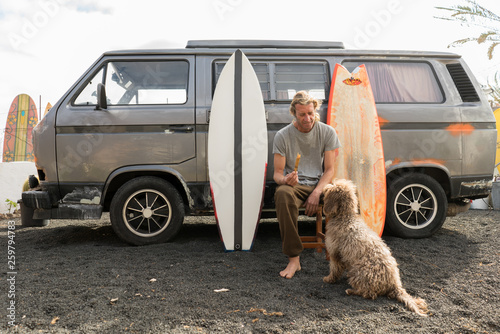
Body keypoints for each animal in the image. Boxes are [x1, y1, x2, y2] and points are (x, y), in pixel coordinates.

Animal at [322, 179, 428, 318]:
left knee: (369, 294)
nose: (323, 190)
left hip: (358, 272)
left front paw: (329, 279)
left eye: (332, 186)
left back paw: (351, 290)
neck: (345, 217)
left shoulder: (334, 253)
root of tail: (394, 284)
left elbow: (334, 269)